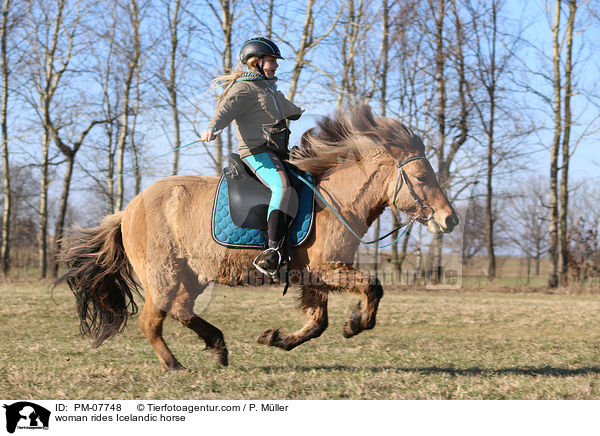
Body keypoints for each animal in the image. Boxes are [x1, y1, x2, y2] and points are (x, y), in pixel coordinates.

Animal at [56, 104, 460, 370]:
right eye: (422, 177)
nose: (450, 219)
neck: (336, 201)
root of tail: (128, 209)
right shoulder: (328, 269)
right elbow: (373, 287)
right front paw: (355, 325)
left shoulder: (311, 275)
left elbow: (318, 323)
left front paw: (277, 339)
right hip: (164, 275)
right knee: (152, 320)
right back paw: (175, 365)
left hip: (192, 274)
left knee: (182, 310)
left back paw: (218, 346)